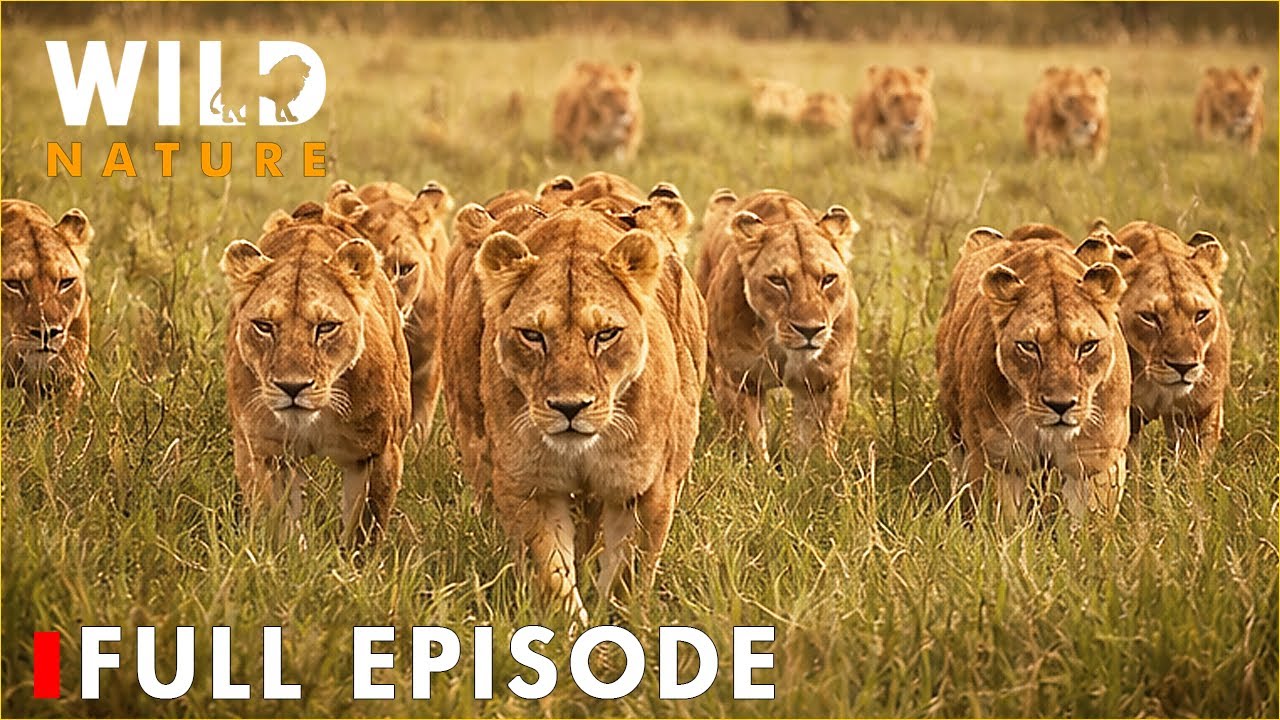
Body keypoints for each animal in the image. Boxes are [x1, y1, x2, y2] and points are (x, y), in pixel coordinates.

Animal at [220, 223, 411, 546]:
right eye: (264, 326)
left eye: (326, 327)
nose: (292, 387)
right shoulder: (265, 454)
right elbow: (275, 525)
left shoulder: (378, 452)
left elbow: (365, 529)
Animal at [456, 203, 704, 624]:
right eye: (532, 335)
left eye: (606, 334)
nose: (569, 407)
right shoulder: (531, 487)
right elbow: (551, 573)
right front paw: (570, 628)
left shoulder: (647, 487)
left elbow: (627, 573)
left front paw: (615, 625)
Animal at [694, 189, 860, 458]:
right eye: (777, 280)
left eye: (828, 279)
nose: (809, 330)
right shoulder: (741, 379)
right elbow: (750, 442)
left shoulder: (826, 381)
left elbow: (818, 445)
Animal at [935, 227, 1130, 522]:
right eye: (1029, 346)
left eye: (1087, 346)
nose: (1060, 405)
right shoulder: (1001, 459)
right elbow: (1004, 521)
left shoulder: (1094, 459)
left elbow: (1091, 523)